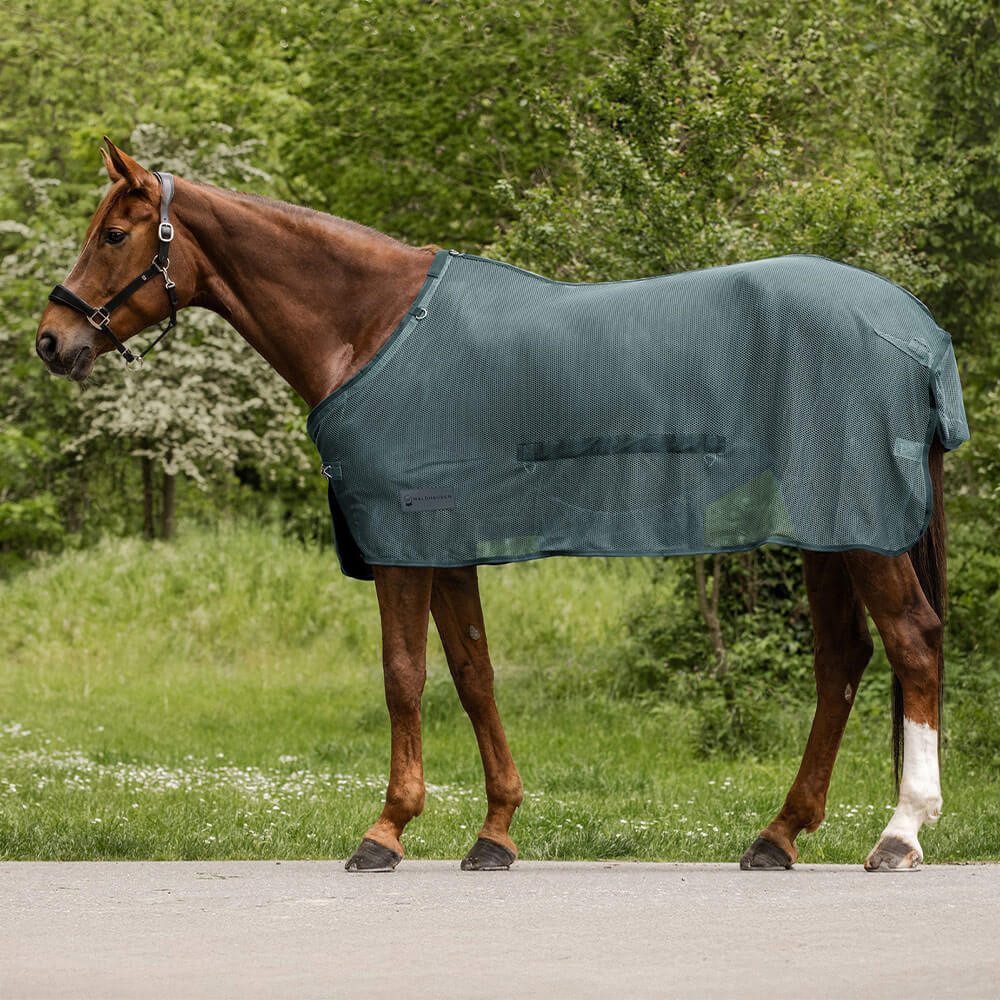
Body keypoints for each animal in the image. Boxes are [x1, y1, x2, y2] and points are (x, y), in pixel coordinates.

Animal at [36, 138, 957, 873]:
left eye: (113, 234)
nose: (51, 338)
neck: (373, 326)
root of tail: (915, 329)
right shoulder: (447, 545)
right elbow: (474, 676)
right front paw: (496, 832)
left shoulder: (404, 536)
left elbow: (403, 676)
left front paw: (387, 830)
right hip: (829, 530)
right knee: (842, 661)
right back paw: (778, 835)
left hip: (862, 532)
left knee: (911, 642)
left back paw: (901, 834)